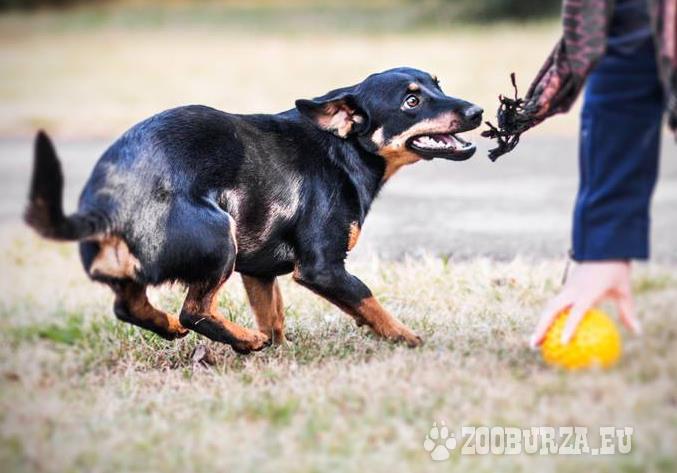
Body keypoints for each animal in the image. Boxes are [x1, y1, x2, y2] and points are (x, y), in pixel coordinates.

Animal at [25, 67, 483, 353]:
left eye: (438, 84)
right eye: (411, 101)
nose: (478, 111)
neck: (343, 147)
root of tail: (106, 204)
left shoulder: (258, 271)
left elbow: (273, 315)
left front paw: (282, 352)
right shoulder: (322, 268)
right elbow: (367, 300)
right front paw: (406, 338)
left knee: (131, 307)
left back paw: (176, 328)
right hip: (218, 237)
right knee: (194, 310)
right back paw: (244, 342)